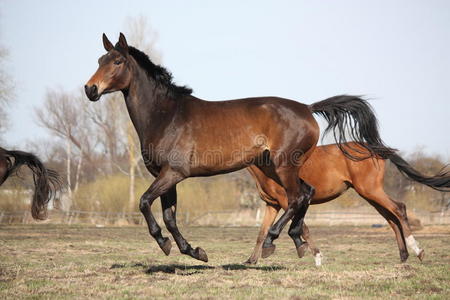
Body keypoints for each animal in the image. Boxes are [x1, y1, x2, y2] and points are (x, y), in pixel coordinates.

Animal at [85, 33, 394, 262]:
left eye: (117, 61)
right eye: (100, 59)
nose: (90, 89)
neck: (167, 115)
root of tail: (307, 108)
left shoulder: (173, 173)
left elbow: (144, 202)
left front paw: (165, 244)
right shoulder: (165, 176)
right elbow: (169, 216)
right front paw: (194, 251)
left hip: (284, 165)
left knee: (297, 197)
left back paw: (272, 242)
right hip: (274, 167)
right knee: (306, 193)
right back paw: (297, 241)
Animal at [246, 143, 450, 264]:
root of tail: (376, 149)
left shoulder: (287, 201)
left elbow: (302, 228)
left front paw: (316, 256)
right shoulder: (272, 205)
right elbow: (261, 232)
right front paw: (251, 260)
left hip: (371, 191)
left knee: (399, 209)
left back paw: (417, 250)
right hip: (370, 195)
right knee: (392, 219)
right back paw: (403, 256)